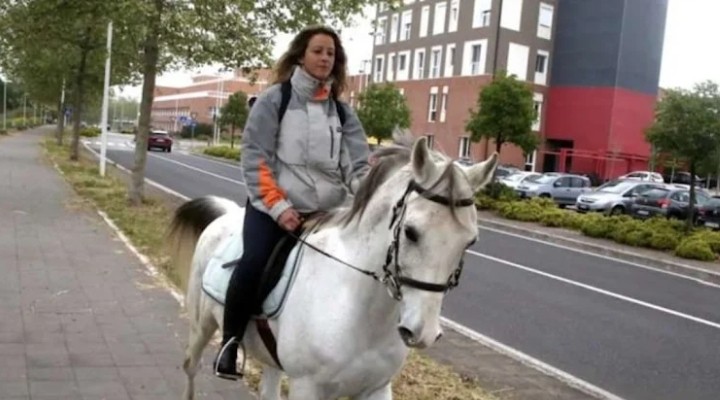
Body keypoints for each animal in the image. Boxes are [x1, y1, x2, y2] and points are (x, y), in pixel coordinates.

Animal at [169, 138, 498, 400]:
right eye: (411, 232)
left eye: (470, 241)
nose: (422, 332)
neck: (359, 308)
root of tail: (226, 215)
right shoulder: (307, 388)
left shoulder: (377, 389)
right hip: (201, 326)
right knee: (189, 367)